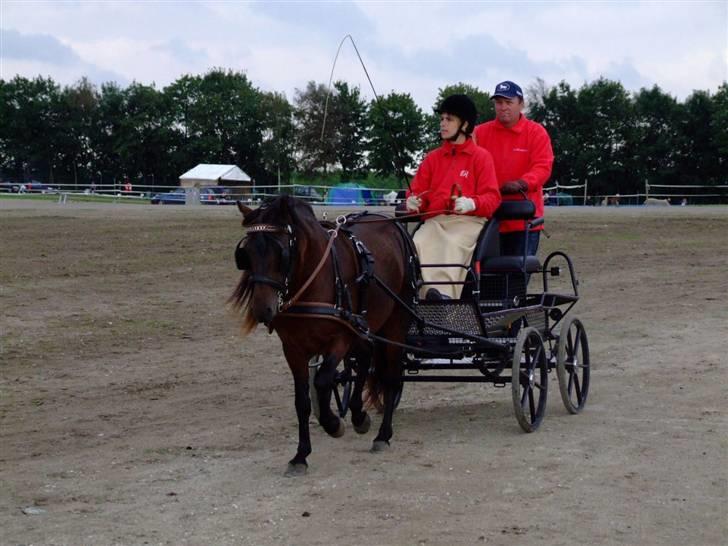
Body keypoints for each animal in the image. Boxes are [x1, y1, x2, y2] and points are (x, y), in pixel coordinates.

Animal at [230, 194, 418, 472]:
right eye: (246, 254)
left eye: (281, 251)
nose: (263, 310)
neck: (314, 279)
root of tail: (391, 224)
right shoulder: (293, 348)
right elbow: (302, 401)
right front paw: (301, 455)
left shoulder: (340, 339)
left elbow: (322, 381)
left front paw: (333, 424)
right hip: (363, 325)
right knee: (366, 358)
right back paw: (358, 415)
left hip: (395, 321)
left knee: (392, 376)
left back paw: (382, 435)